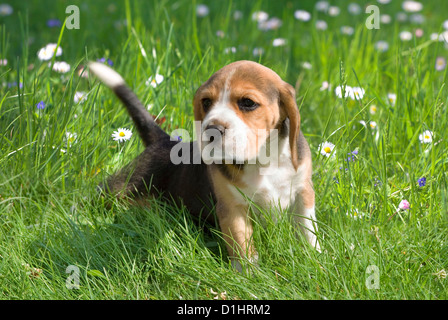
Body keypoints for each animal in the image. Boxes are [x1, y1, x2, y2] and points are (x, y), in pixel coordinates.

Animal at [87, 60, 318, 272]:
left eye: (248, 102)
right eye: (206, 102)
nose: (212, 130)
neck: (262, 160)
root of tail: (164, 141)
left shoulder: (303, 192)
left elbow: (307, 229)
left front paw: (314, 259)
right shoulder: (231, 206)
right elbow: (241, 243)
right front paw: (249, 274)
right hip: (120, 188)